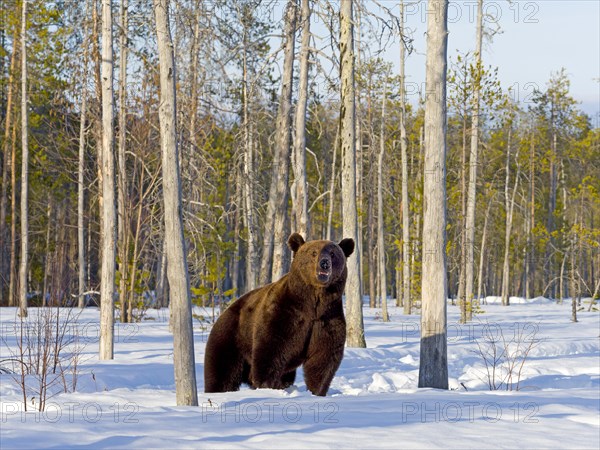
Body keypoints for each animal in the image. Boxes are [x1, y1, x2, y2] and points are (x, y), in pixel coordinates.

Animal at [204, 234, 354, 396]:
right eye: (313, 253)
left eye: (333, 254)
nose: (324, 263)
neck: (313, 303)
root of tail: (224, 312)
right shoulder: (284, 314)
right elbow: (271, 349)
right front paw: (268, 385)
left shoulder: (327, 319)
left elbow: (323, 358)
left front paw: (317, 391)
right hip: (231, 337)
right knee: (222, 371)